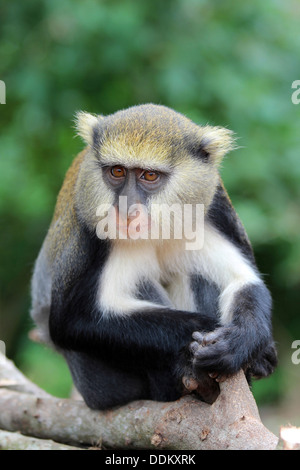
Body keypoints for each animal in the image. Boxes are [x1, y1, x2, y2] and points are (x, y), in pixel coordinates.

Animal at [30, 104, 276, 410]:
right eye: (117, 171)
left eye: (149, 176)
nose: (125, 209)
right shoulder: (91, 235)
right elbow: (74, 320)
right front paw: (209, 328)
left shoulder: (214, 206)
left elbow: (242, 280)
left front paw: (242, 341)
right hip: (100, 386)